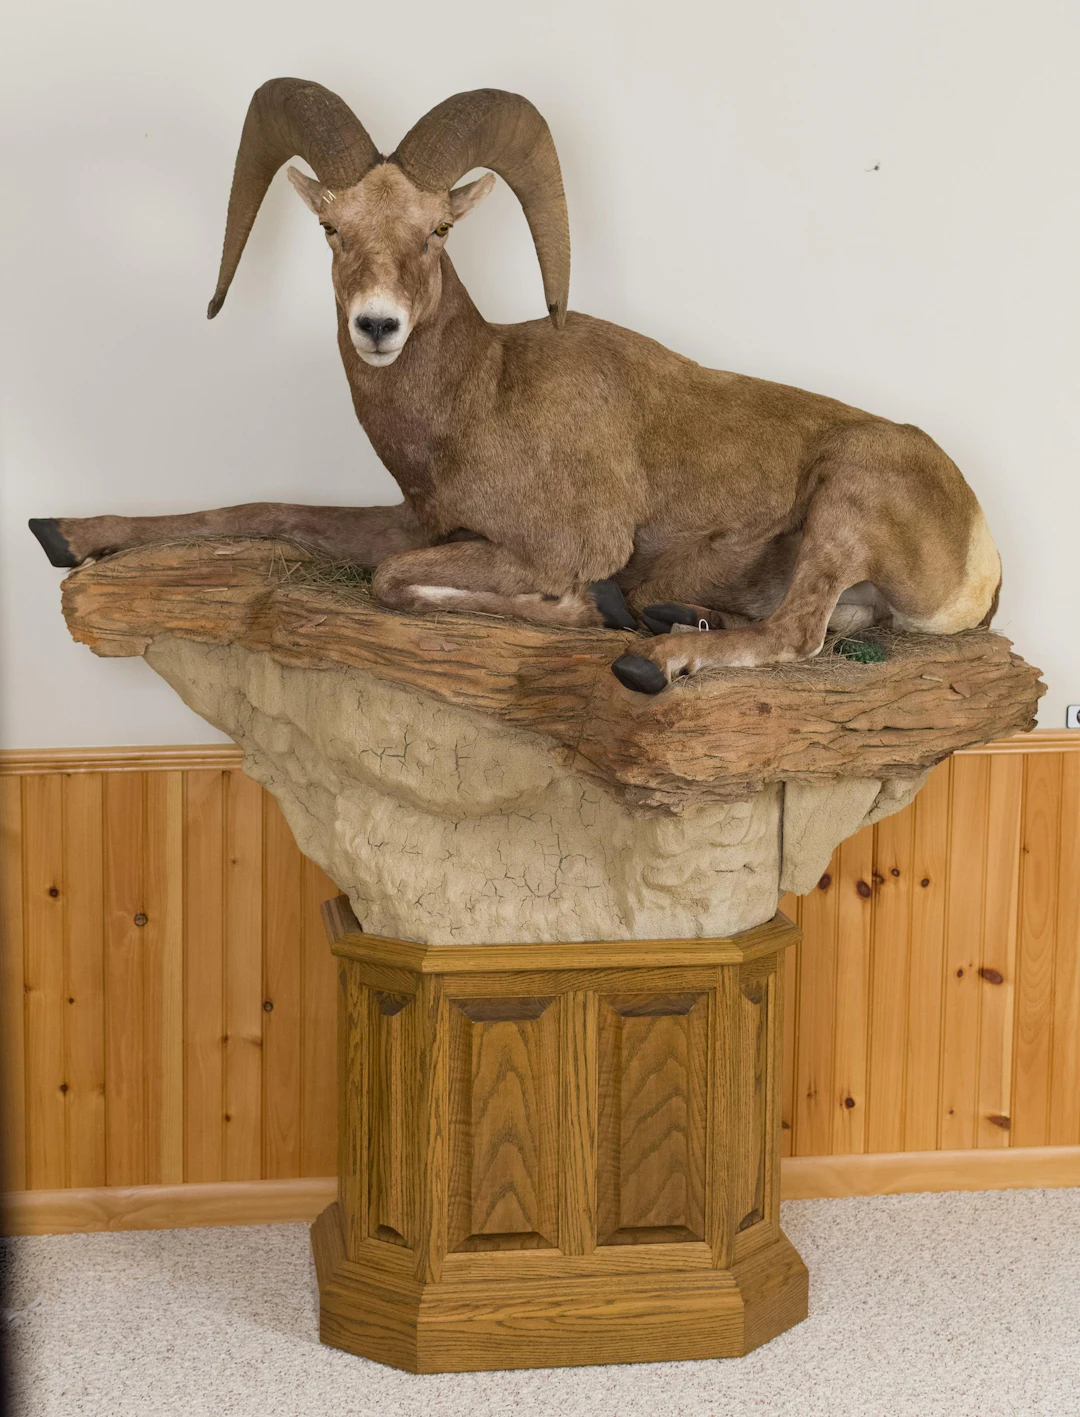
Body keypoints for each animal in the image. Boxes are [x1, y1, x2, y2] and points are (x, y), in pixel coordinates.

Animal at [31, 79, 1002, 694]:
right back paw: (679, 616)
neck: (481, 396)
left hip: (846, 496)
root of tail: (980, 551)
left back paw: (655, 653)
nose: (377, 326)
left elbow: (392, 580)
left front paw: (595, 606)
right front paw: (67, 533)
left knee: (795, 635)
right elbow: (258, 511)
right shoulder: (415, 519)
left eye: (436, 230)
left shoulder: (541, 545)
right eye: (333, 228)